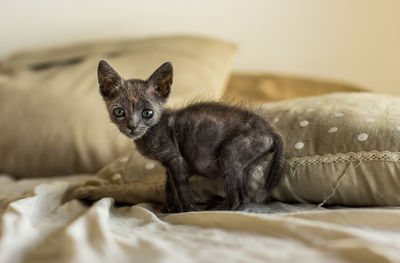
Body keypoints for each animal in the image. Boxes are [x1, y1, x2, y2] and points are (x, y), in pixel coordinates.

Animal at [97, 60, 284, 213]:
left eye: (147, 113)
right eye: (119, 112)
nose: (132, 126)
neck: (150, 133)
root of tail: (270, 127)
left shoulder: (175, 158)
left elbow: (181, 187)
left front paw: (189, 210)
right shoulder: (168, 163)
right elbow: (169, 186)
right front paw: (170, 209)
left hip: (230, 152)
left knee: (237, 198)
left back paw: (216, 208)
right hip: (242, 162)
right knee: (244, 196)